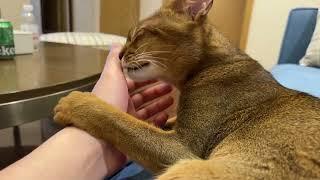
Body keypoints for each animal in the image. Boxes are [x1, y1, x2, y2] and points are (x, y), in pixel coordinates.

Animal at [53, 0, 318, 179]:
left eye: (139, 34)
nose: (118, 54)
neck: (211, 63)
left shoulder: (183, 149)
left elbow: (119, 120)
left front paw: (76, 102)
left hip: (188, 169)